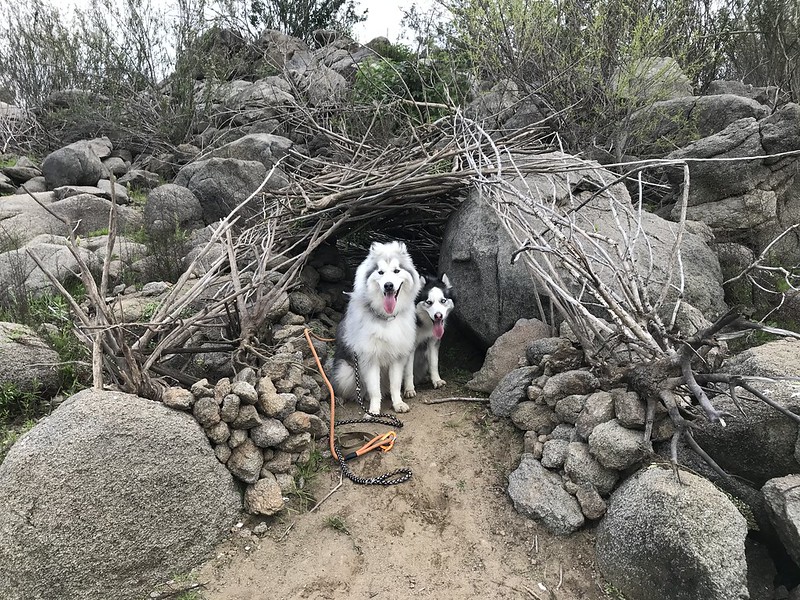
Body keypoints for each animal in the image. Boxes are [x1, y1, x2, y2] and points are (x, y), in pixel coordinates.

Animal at [328, 241, 422, 414]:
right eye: (380, 272)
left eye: (396, 270)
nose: (388, 285)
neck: (386, 317)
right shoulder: (370, 359)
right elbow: (374, 390)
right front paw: (373, 412)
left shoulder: (397, 357)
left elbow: (395, 385)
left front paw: (398, 404)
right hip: (346, 372)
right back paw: (341, 399)